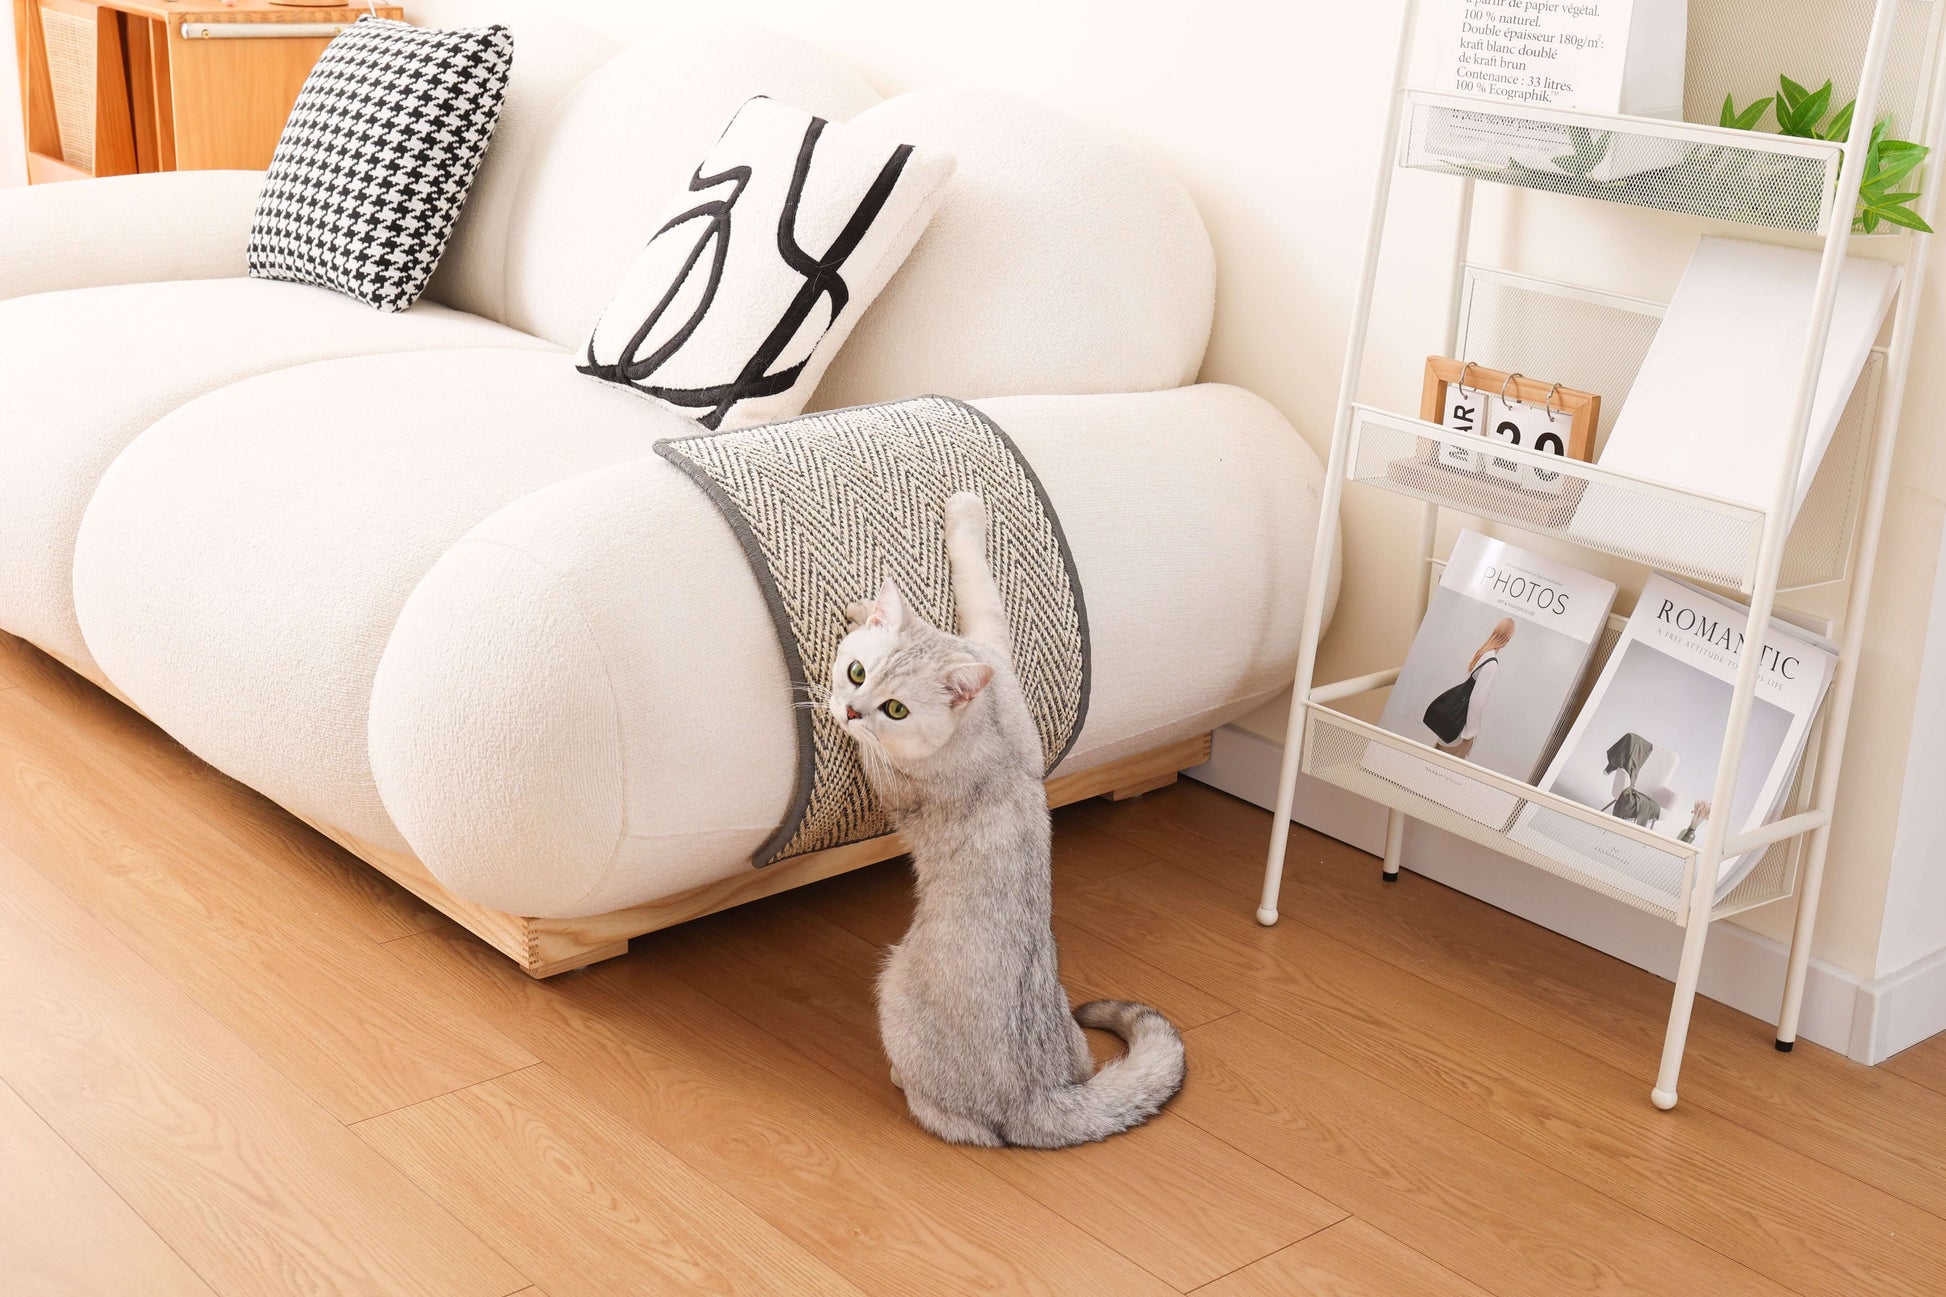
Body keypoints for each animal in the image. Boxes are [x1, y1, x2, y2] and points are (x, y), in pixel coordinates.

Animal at [825, 492, 1183, 1145]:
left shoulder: (895, 776)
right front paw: (959, 516)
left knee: (963, 1124)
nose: (852, 707)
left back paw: (904, 1081)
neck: (981, 718)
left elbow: (872, 756)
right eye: (858, 671)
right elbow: (977, 584)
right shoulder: (992, 645)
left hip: (894, 984)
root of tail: (1043, 1095)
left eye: (895, 709)